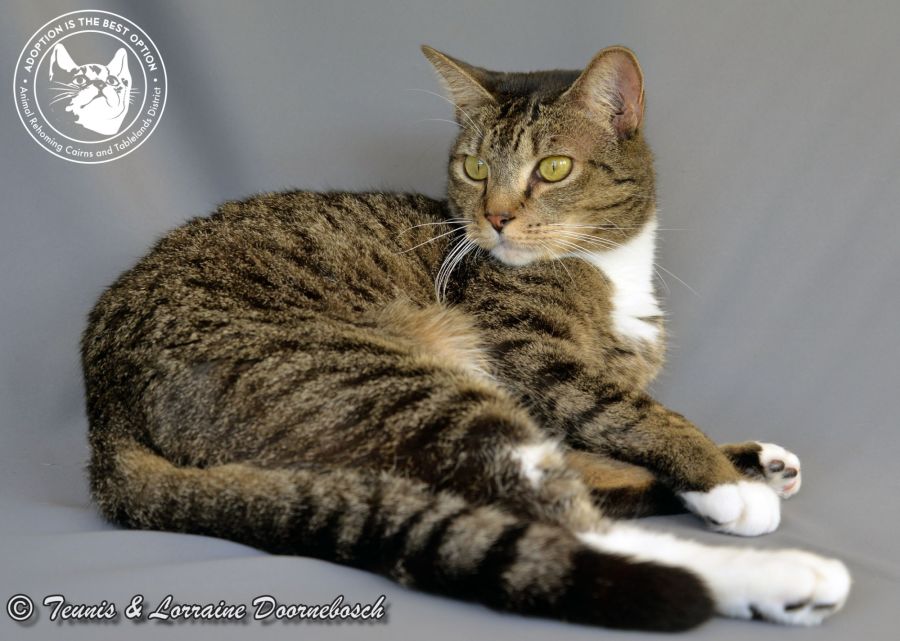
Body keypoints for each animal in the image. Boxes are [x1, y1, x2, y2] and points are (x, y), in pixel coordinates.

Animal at [81, 45, 850, 631]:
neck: (613, 268)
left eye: (554, 168)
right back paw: (779, 573)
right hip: (399, 380)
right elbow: (637, 415)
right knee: (565, 522)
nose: (497, 217)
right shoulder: (541, 361)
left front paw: (736, 462)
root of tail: (102, 418)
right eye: (475, 168)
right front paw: (722, 483)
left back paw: (758, 473)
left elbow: (621, 428)